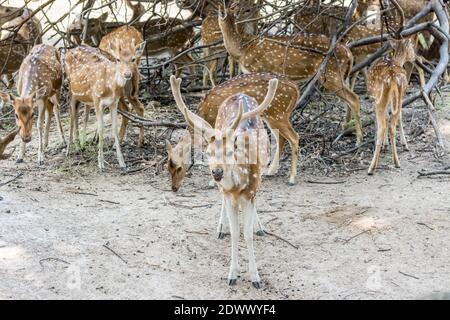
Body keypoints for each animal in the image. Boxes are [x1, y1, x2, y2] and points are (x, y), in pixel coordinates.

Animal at [63, 44, 143, 172]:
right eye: (118, 59)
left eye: (133, 59)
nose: (127, 74)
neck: (109, 86)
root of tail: (68, 51)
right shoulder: (97, 100)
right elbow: (101, 128)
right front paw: (100, 163)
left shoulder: (113, 102)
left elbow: (114, 128)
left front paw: (122, 162)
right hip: (71, 91)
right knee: (72, 114)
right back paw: (70, 150)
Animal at [167, 72, 300, 191]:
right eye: (168, 167)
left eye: (179, 167)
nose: (174, 188)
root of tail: (296, 89)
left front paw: (212, 182)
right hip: (274, 116)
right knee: (281, 137)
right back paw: (271, 171)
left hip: (277, 114)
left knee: (294, 136)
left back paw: (292, 178)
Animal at [171, 74, 280, 288]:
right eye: (208, 153)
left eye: (230, 151)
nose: (217, 172)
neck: (239, 186)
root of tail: (239, 95)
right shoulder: (229, 197)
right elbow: (236, 233)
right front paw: (233, 275)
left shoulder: (250, 193)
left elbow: (247, 234)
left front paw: (255, 278)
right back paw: (221, 228)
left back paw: (259, 227)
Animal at [220, 5, 364, 145]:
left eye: (247, 9)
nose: (222, 13)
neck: (243, 49)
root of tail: (348, 52)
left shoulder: (259, 70)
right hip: (342, 74)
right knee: (349, 98)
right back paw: (345, 130)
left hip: (330, 74)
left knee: (354, 98)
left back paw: (358, 140)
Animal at [366, 37, 414, 175]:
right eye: (412, 47)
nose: (414, 57)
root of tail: (392, 77)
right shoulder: (399, 98)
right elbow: (396, 118)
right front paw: (402, 145)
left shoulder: (373, 98)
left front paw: (384, 145)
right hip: (398, 95)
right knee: (393, 122)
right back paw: (396, 161)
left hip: (379, 98)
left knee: (383, 126)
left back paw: (372, 168)